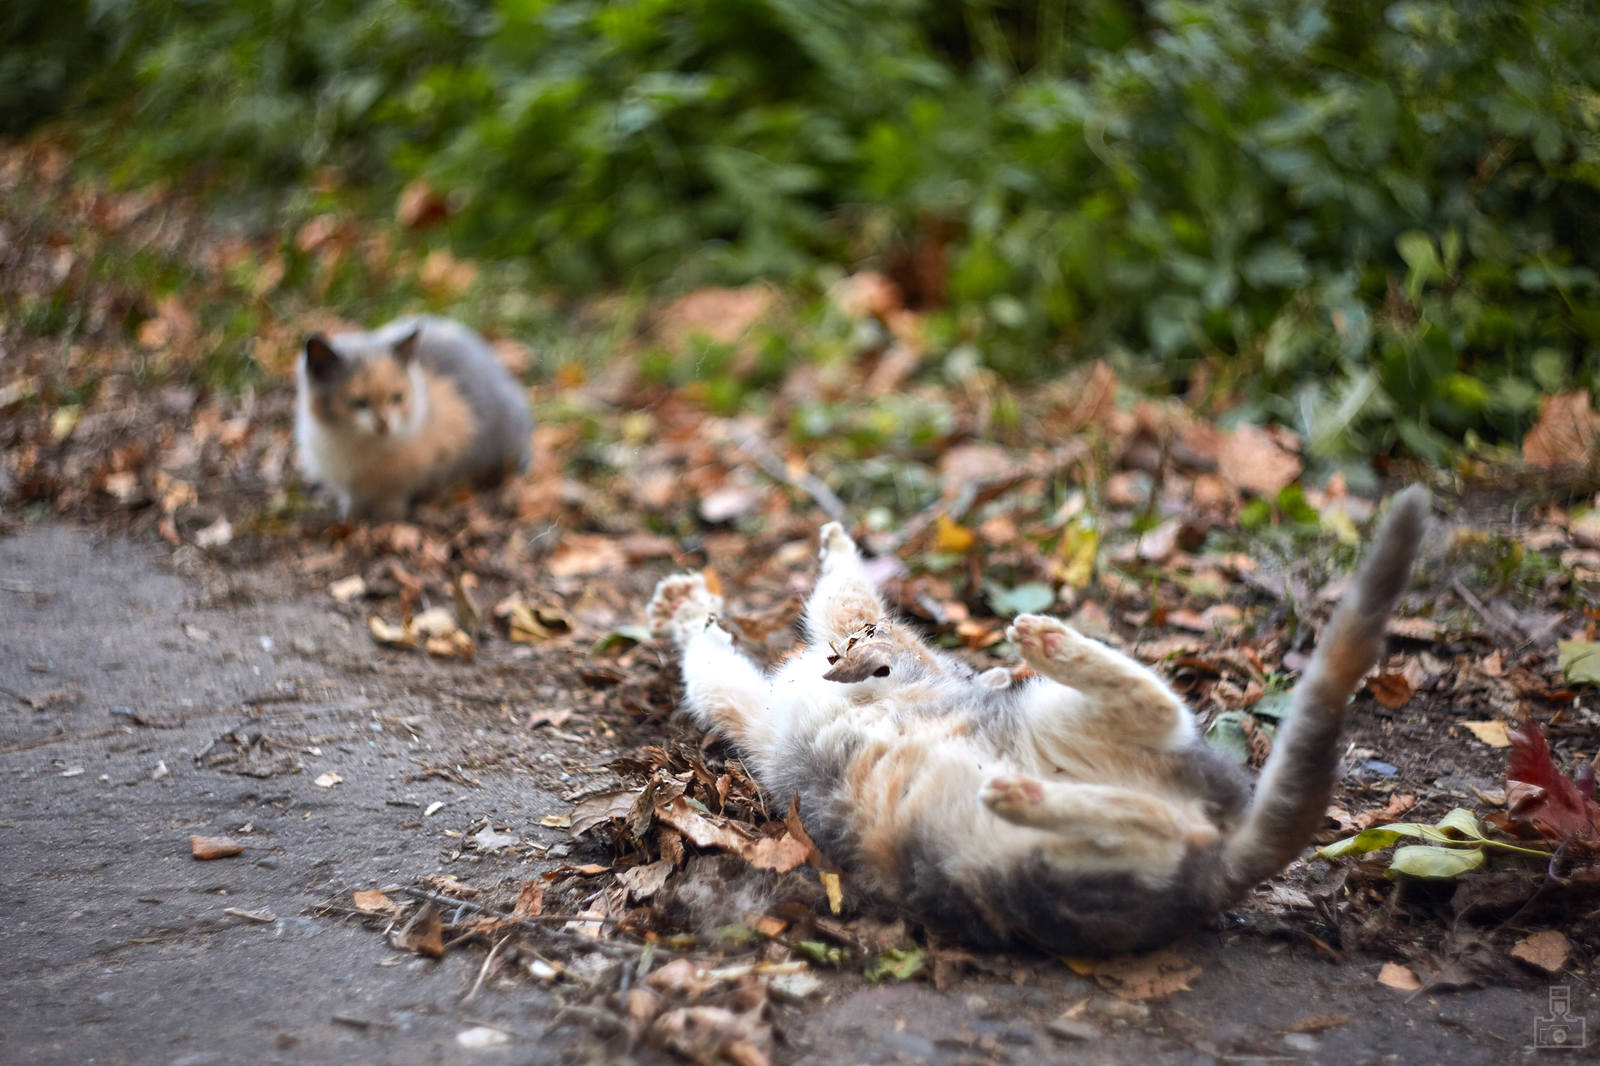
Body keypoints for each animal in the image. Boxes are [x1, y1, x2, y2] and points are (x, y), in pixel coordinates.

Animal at [294, 312, 531, 518]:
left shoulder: (410, 475)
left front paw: (387, 517)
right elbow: (353, 501)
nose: (384, 424)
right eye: (358, 403)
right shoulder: (349, 484)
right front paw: (350, 517)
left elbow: (394, 496)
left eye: (397, 397)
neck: (359, 445)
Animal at [652, 486, 1440, 947]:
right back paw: (1031, 768)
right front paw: (692, 608)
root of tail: (1224, 848)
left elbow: (836, 598)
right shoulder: (777, 707)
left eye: (865, 655)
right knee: (1154, 779)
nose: (844, 665)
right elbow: (735, 653)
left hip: (1051, 779)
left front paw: (820, 554)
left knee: (1157, 729)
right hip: (1053, 809)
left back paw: (1041, 677)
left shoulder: (852, 659)